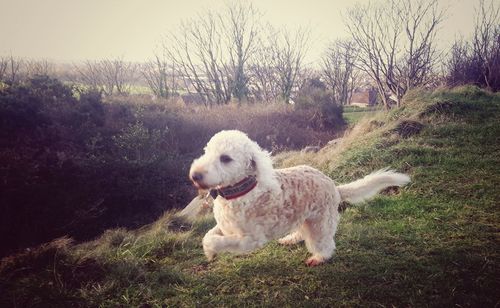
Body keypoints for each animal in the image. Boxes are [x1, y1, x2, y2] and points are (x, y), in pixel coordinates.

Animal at [189, 129, 408, 266]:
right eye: (206, 151)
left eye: (226, 158)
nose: (195, 175)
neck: (240, 192)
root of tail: (334, 187)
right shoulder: (224, 227)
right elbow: (208, 236)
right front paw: (209, 252)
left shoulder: (251, 240)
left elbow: (219, 241)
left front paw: (212, 250)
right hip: (303, 218)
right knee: (301, 232)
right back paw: (289, 239)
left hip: (320, 224)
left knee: (326, 245)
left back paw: (319, 258)